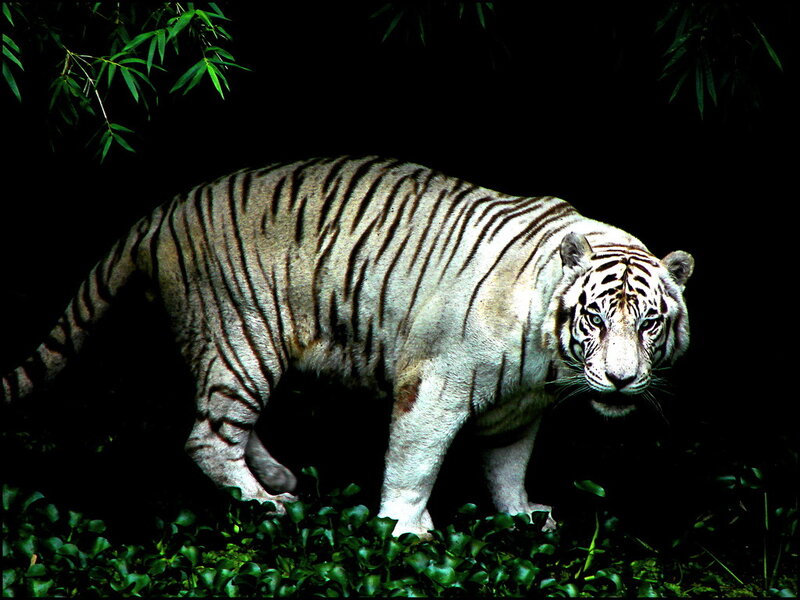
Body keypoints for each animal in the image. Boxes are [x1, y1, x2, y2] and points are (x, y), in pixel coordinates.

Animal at [1, 155, 694, 538]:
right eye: (595, 319)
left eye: (649, 325)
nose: (622, 380)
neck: (548, 358)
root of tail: (162, 210)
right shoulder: (434, 384)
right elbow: (415, 463)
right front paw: (407, 531)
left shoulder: (519, 410)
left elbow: (506, 468)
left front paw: (521, 515)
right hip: (243, 334)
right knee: (207, 434)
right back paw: (267, 503)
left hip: (235, 345)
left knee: (221, 419)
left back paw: (277, 476)